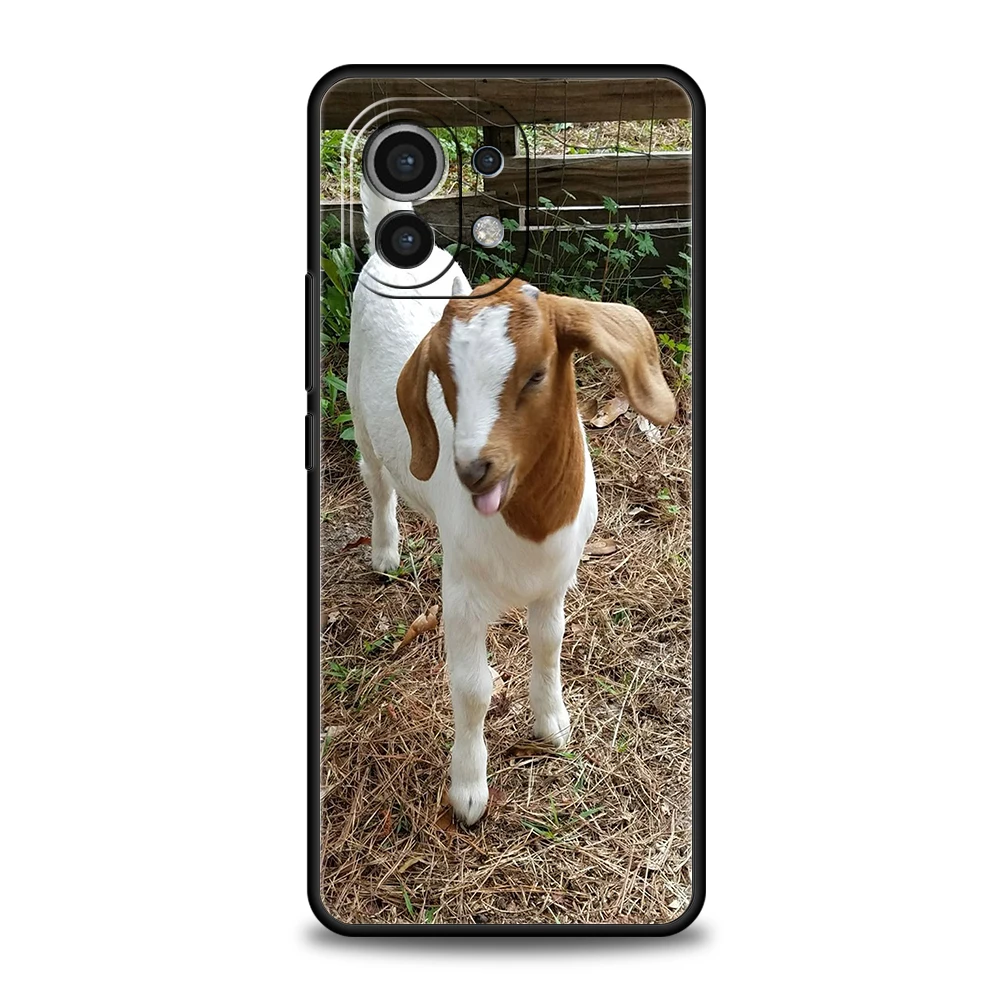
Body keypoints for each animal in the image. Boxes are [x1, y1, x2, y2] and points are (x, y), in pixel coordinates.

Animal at [347, 185, 676, 824]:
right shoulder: (463, 597)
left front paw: (552, 725)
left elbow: (549, 644)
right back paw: (386, 553)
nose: (473, 468)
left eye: (537, 375)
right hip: (357, 404)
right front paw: (469, 790)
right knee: (378, 480)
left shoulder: (557, 579)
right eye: (444, 380)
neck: (530, 527)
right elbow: (472, 688)